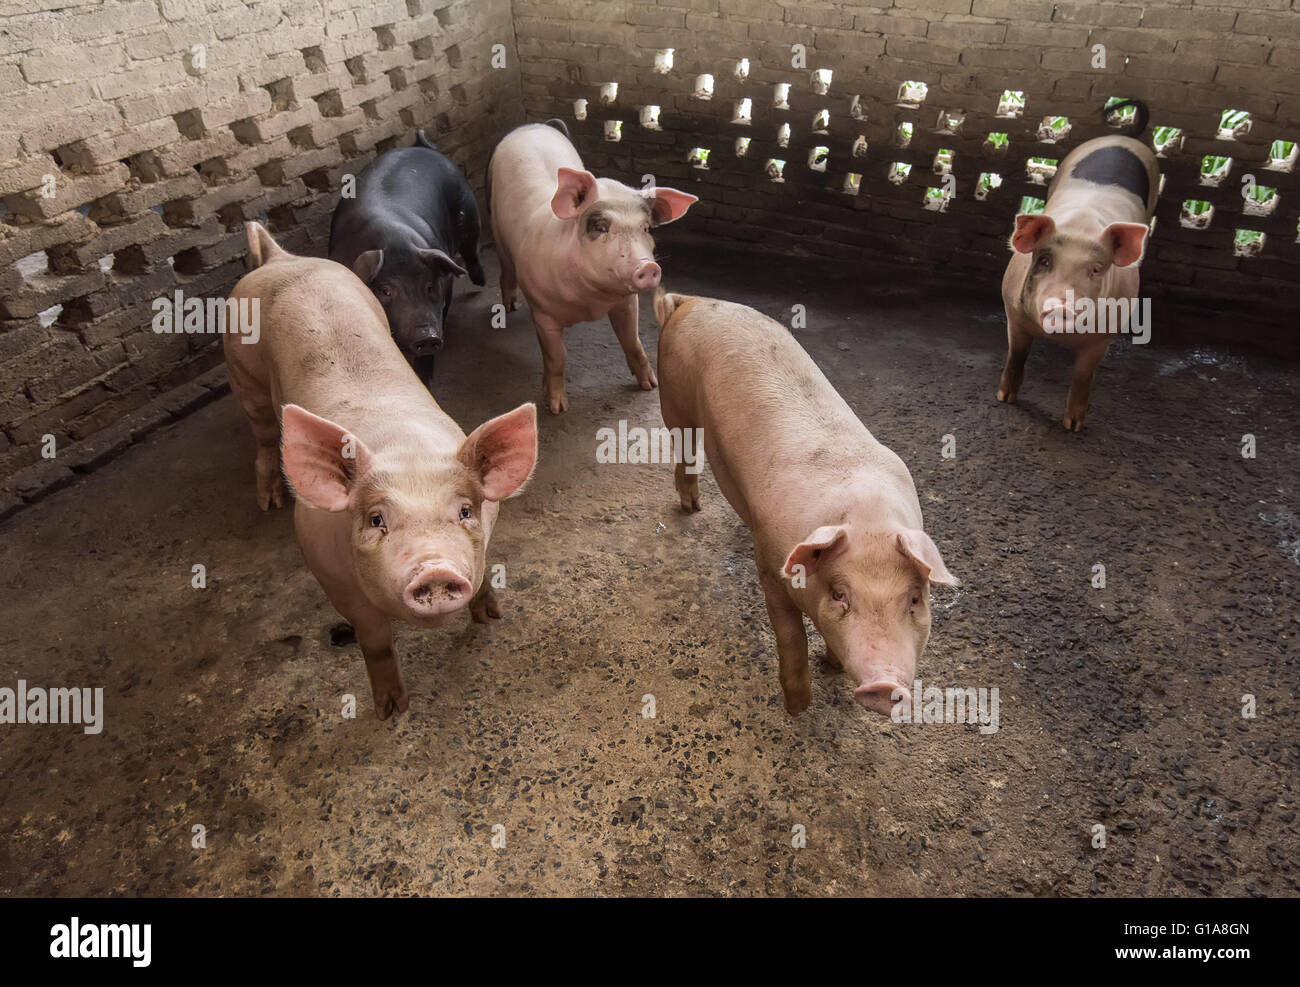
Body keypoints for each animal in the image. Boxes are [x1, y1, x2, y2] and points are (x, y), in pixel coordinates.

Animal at [223, 223, 538, 717]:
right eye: (376, 520)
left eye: (465, 511)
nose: (434, 569)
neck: (404, 448)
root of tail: (279, 258)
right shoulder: (331, 576)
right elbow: (373, 641)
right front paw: (392, 709)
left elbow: (485, 572)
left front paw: (491, 617)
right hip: (242, 370)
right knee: (262, 435)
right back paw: (268, 500)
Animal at [327, 131, 486, 377]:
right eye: (385, 290)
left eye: (429, 286)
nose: (428, 336)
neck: (394, 243)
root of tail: (421, 145)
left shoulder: (445, 286)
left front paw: (423, 377)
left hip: (468, 211)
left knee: (472, 251)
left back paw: (481, 282)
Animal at [488, 121, 696, 416]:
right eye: (601, 227)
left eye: (645, 228)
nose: (648, 266)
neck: (590, 303)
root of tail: (533, 125)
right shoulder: (542, 312)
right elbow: (557, 356)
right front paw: (557, 408)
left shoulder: (626, 302)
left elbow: (632, 341)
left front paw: (650, 385)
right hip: (496, 228)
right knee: (505, 268)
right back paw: (510, 306)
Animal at [993, 99, 1159, 431]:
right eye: (1044, 260)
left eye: (1096, 269)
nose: (1062, 304)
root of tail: (1124, 136)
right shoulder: (1012, 310)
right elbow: (1017, 354)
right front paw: (1005, 399)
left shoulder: (1105, 335)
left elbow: (1083, 376)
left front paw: (1073, 427)